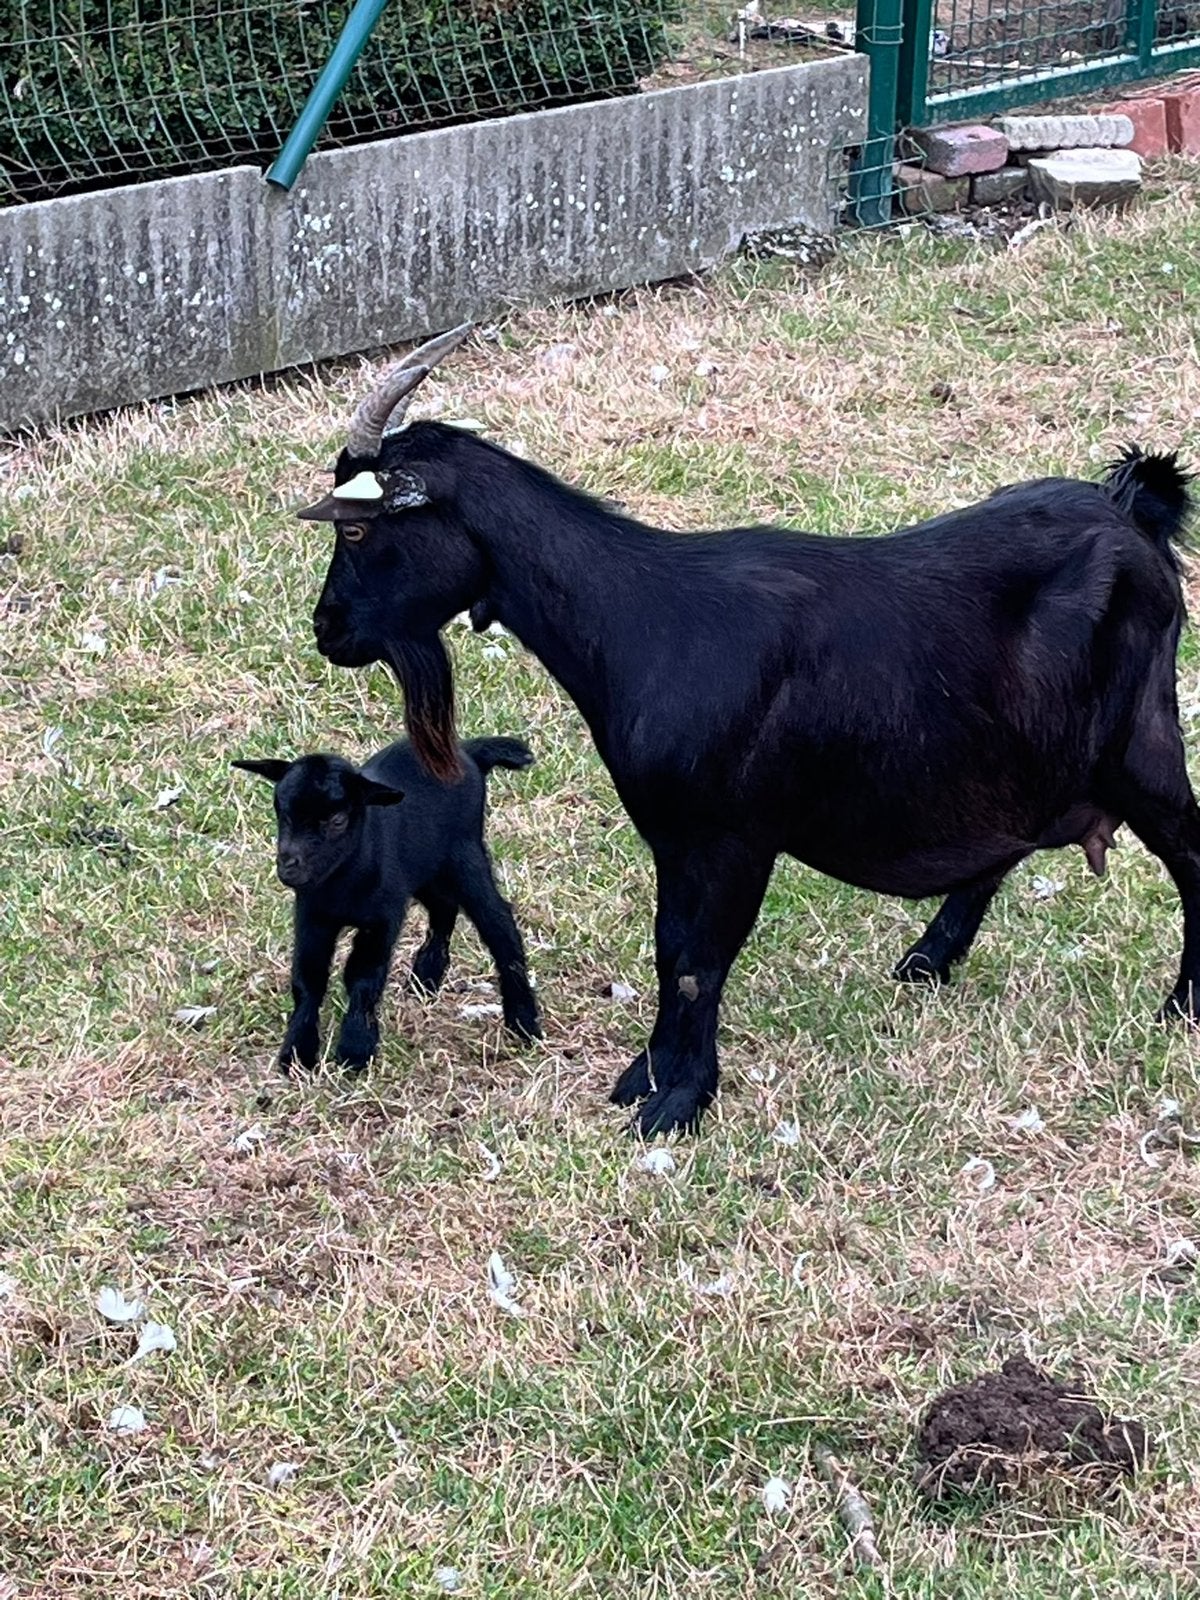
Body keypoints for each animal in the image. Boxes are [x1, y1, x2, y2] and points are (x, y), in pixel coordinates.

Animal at [233, 732, 542, 1074]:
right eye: (282, 813)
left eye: (337, 820)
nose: (288, 867)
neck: (343, 882)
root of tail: (468, 752)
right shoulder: (313, 916)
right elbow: (308, 979)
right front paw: (298, 1051)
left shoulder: (381, 919)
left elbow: (363, 976)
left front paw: (355, 1048)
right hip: (425, 865)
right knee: (444, 906)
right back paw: (427, 975)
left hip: (464, 854)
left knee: (498, 921)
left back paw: (523, 1020)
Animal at [294, 326, 1196, 1136]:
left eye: (356, 528)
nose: (327, 628)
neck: (641, 618)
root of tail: (1133, 516)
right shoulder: (673, 836)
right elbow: (672, 950)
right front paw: (647, 1074)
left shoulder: (737, 836)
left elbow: (701, 962)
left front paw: (677, 1105)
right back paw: (929, 958)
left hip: (1138, 739)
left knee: (1188, 852)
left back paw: (1180, 1005)